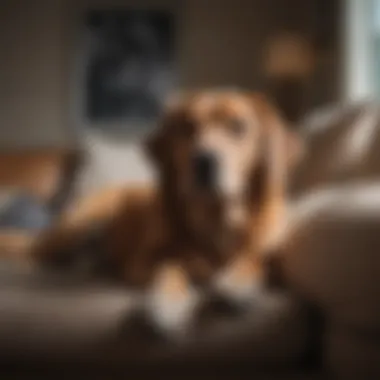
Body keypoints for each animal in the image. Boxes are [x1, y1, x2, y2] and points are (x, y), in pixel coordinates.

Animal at [31, 89, 302, 338]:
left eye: (238, 126)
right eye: (187, 127)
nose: (203, 161)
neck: (217, 219)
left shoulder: (267, 246)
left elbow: (254, 257)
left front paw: (237, 282)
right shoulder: (141, 262)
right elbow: (170, 266)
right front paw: (167, 303)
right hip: (81, 224)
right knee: (39, 252)